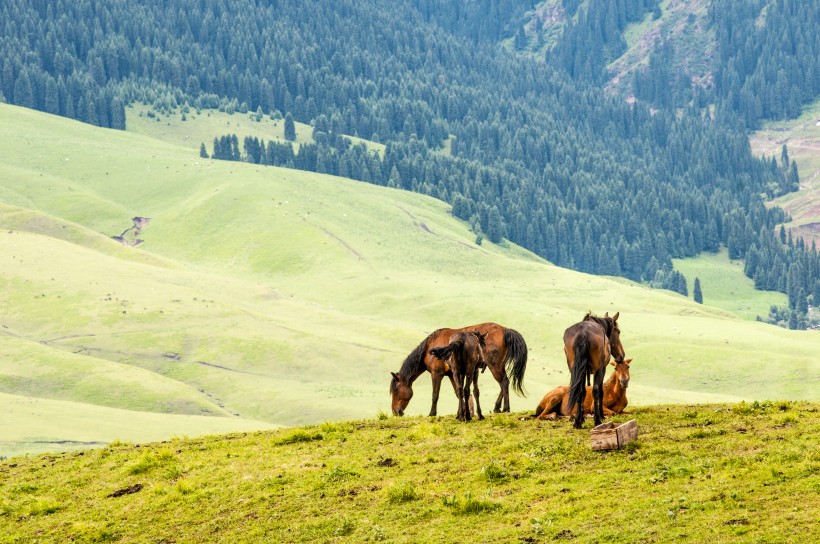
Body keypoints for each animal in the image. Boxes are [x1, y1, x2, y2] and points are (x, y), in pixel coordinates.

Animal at [390, 324, 528, 416]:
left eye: (395, 390)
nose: (395, 412)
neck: (430, 347)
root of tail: (505, 330)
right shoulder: (452, 374)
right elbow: (458, 392)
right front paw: (463, 412)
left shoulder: (436, 374)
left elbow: (435, 395)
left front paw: (432, 413)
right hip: (498, 366)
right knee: (505, 383)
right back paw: (497, 407)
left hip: (494, 366)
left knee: (503, 382)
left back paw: (505, 408)